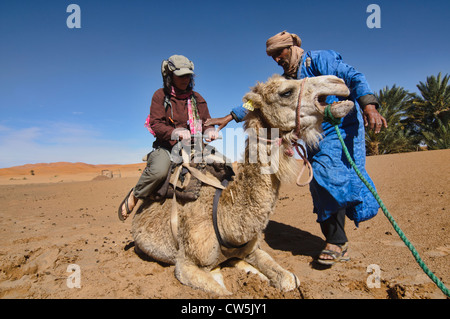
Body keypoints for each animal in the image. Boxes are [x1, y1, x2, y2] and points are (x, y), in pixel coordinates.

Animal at [131, 74, 356, 296]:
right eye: (286, 92)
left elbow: (289, 280)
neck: (224, 218)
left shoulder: (252, 249)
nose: (339, 82)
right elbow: (224, 291)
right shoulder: (185, 264)